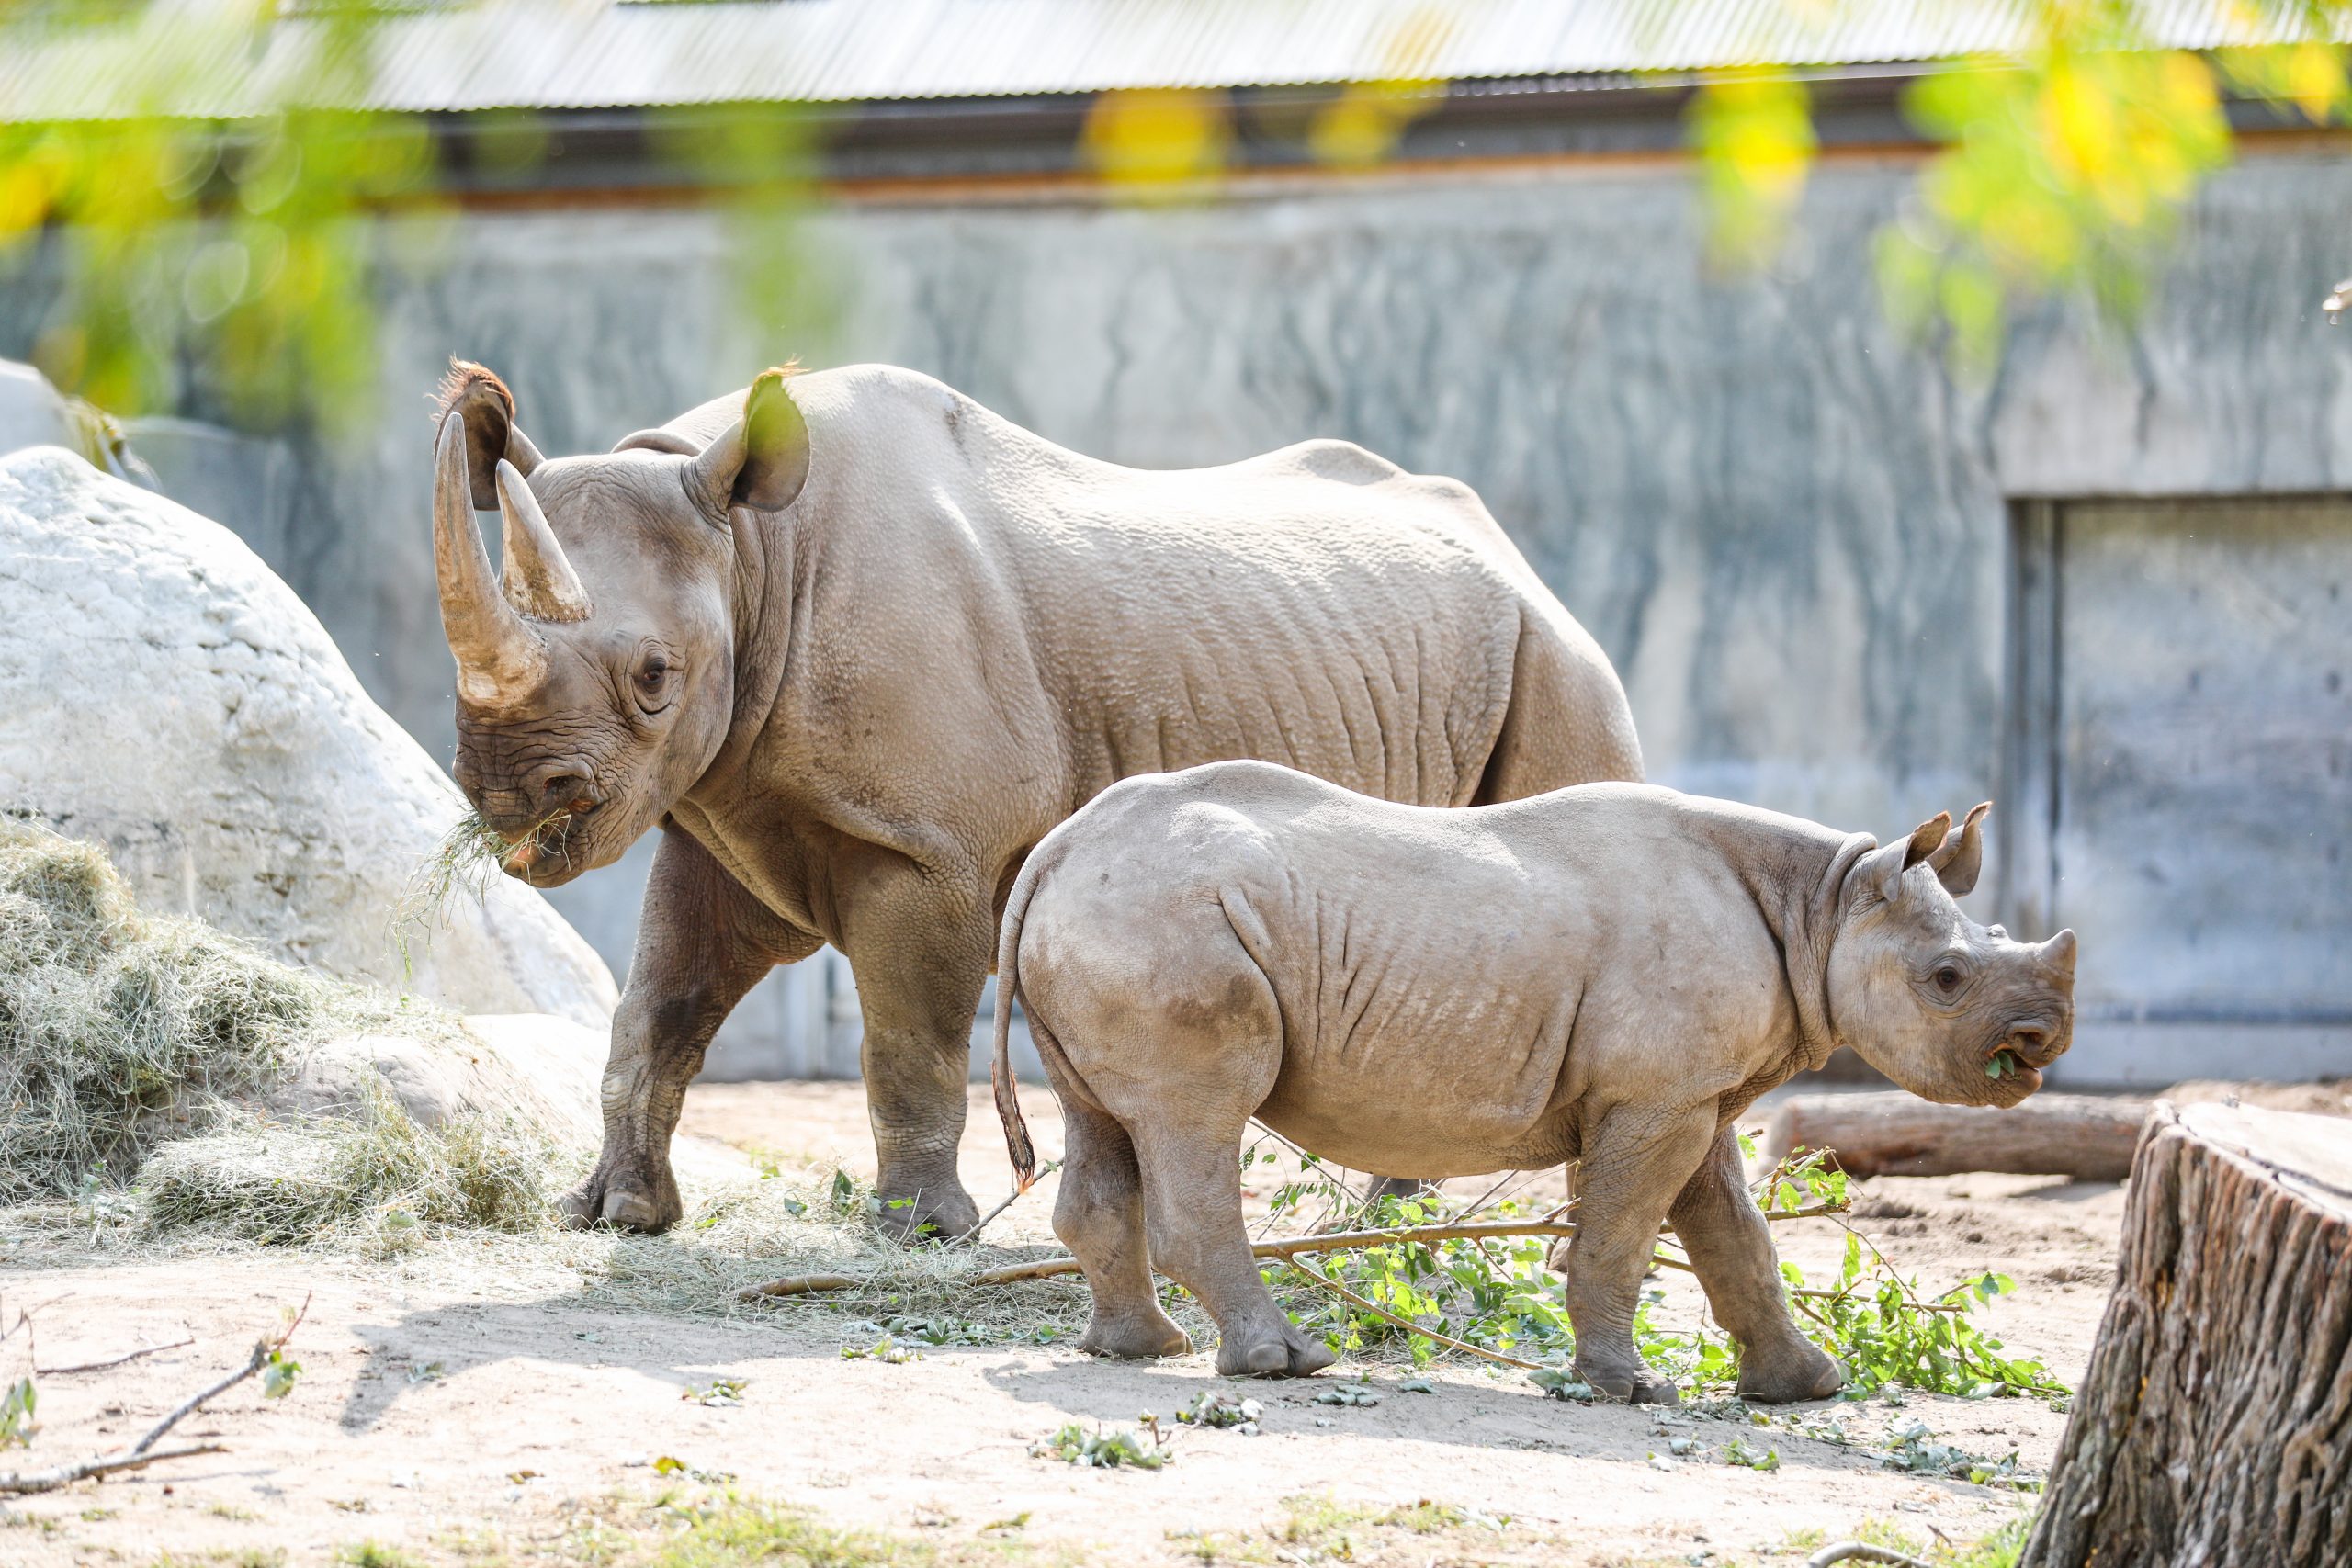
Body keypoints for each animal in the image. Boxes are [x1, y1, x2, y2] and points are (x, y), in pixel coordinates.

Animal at [427, 359, 1636, 1241]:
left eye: (653, 676)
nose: (508, 796)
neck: (752, 549)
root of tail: (1519, 559)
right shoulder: (721, 812)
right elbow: (657, 1009)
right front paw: (612, 1214)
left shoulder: (925, 848)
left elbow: (906, 1037)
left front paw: (923, 1233)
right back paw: (1391, 1227)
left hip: (1556, 660)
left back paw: (1420, 1233)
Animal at [992, 766, 2079, 1401]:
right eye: (1948, 979)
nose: (2039, 1042)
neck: (1825, 901)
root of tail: (1054, 848)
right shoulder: (1658, 1096)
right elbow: (1624, 1234)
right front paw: (1629, 1389)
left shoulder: (1687, 1088)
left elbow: (1735, 1235)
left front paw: (1809, 1384)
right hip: (1165, 921)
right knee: (1198, 1116)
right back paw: (1283, 1364)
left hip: (1114, 920)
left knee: (1107, 1119)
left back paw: (1142, 1349)